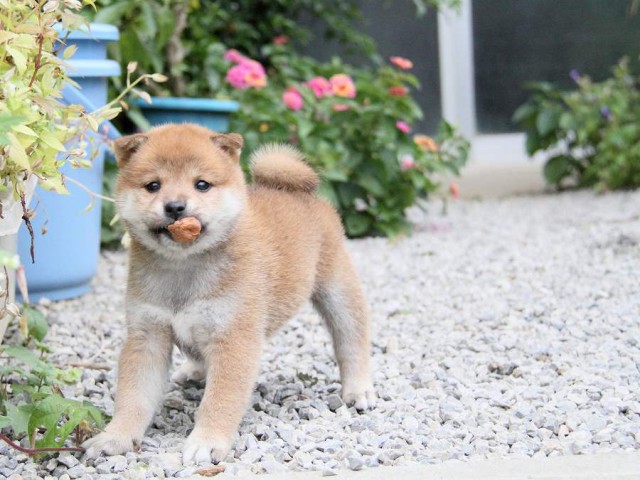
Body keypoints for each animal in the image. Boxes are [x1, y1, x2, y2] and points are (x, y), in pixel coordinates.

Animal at [84, 124, 376, 464]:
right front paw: (115, 436)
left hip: (336, 289)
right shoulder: (147, 336)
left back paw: (358, 389)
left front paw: (207, 441)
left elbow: (220, 399)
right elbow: (133, 397)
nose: (175, 207)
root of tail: (296, 191)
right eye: (152, 185)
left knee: (351, 341)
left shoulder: (233, 337)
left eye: (202, 184)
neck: (184, 267)